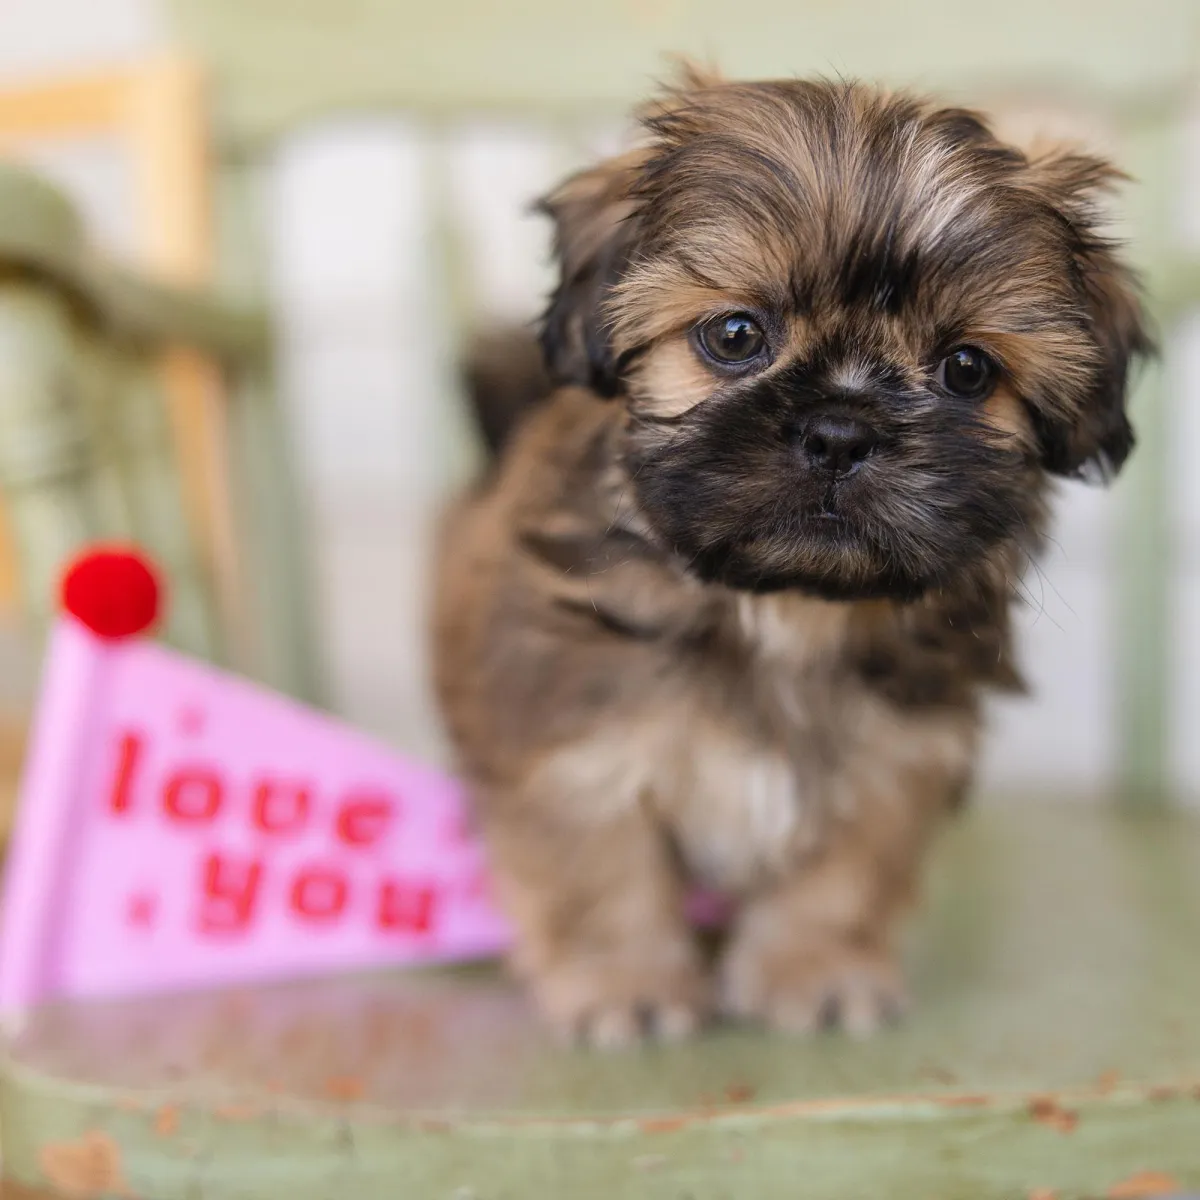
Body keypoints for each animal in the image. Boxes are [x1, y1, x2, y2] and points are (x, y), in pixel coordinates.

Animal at [434, 70, 1152, 1046]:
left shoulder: (894, 760)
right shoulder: (576, 742)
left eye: (968, 369)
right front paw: (626, 981)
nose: (841, 432)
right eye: (735, 336)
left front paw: (811, 969)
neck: (782, 610)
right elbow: (602, 870)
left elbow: (839, 876)